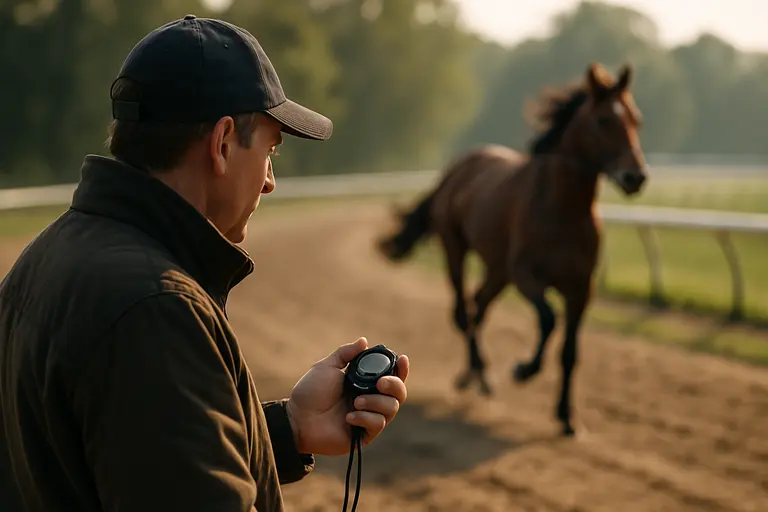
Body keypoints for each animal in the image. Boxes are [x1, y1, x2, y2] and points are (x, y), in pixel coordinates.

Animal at [376, 62, 648, 437]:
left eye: (637, 119)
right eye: (604, 119)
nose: (635, 176)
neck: (563, 209)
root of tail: (456, 169)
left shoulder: (581, 287)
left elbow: (570, 351)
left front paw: (567, 417)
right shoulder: (525, 274)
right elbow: (548, 319)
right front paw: (523, 369)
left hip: (497, 269)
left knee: (479, 305)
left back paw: (475, 376)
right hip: (456, 248)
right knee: (462, 311)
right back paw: (479, 372)